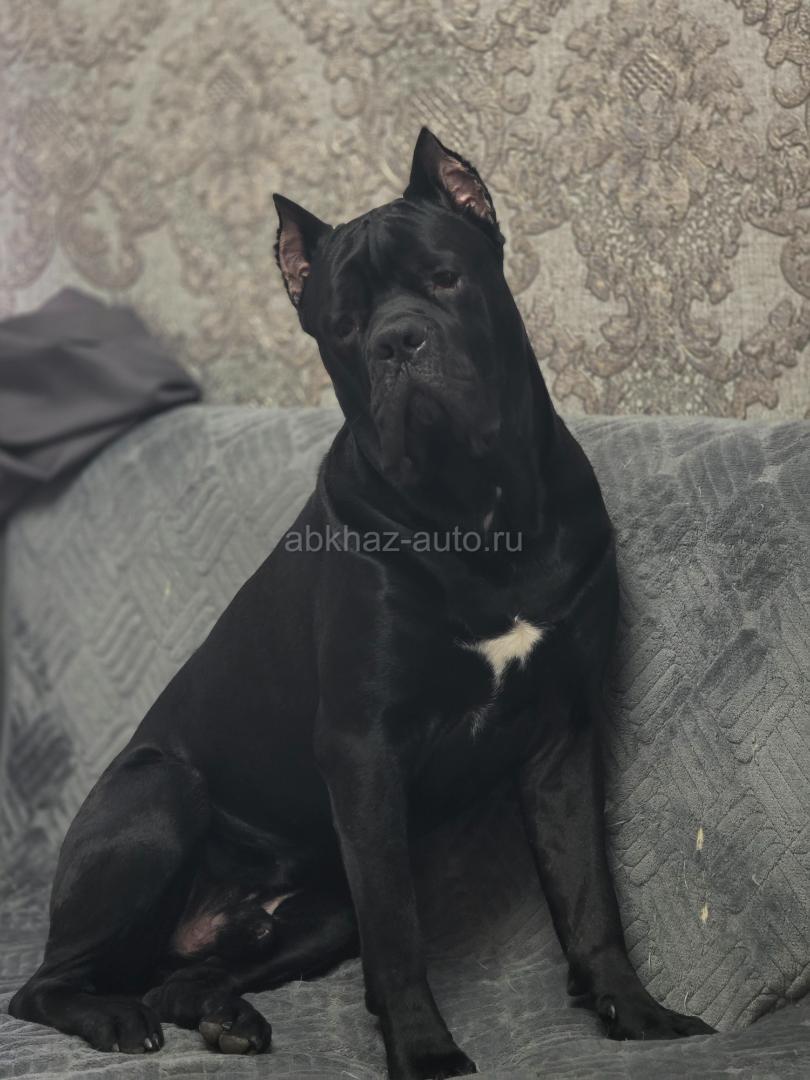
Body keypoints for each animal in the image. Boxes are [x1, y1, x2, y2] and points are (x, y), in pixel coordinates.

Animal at [9, 129, 714, 1078]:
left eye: (446, 278)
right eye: (343, 324)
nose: (399, 341)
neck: (475, 512)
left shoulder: (560, 736)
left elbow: (588, 894)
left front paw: (635, 1013)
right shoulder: (364, 750)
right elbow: (398, 930)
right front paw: (424, 1052)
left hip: (313, 915)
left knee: (178, 979)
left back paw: (224, 1015)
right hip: (159, 796)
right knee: (45, 985)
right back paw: (116, 1018)